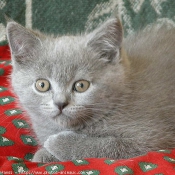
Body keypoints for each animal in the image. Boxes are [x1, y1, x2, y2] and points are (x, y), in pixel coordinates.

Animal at [5, 17, 175, 163]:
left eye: (81, 85)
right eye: (42, 85)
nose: (60, 103)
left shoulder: (151, 138)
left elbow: (109, 145)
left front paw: (57, 143)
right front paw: (44, 154)